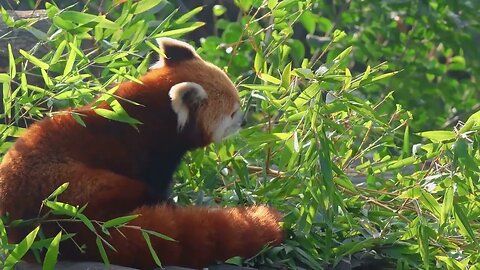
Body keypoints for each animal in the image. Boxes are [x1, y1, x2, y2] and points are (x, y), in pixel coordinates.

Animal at [0, 37, 284, 268]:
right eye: (233, 113)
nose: (245, 121)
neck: (153, 111)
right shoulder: (148, 153)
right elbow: (156, 184)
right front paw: (168, 202)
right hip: (79, 187)